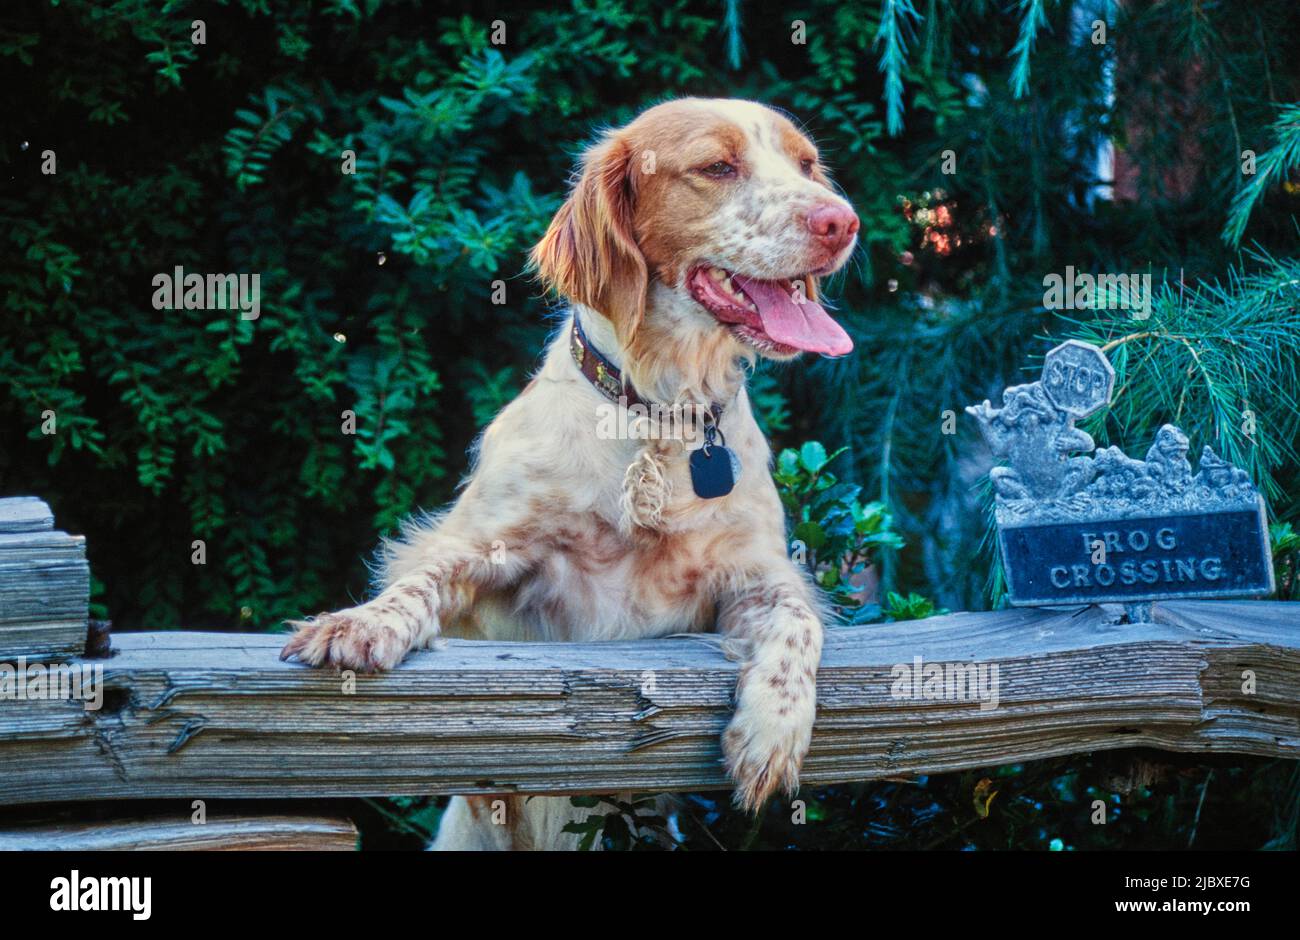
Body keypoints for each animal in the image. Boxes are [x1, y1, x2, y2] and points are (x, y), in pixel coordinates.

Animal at [279, 97, 857, 852]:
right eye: (717, 167)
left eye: (807, 165)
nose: (841, 221)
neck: (660, 421)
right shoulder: (486, 550)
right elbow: (420, 581)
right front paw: (360, 623)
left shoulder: (756, 571)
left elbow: (797, 622)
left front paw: (771, 734)